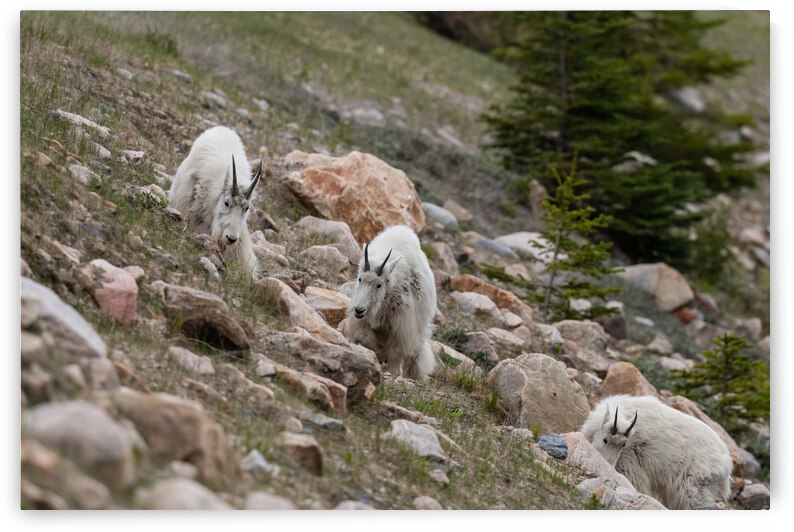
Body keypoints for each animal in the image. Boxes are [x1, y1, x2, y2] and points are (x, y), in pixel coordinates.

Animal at [341, 225, 437, 380]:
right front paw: (380, 357)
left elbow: (395, 352)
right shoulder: (363, 322)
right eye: (360, 279)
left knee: (415, 355)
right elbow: (366, 338)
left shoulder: (402, 326)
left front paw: (391, 371)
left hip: (420, 330)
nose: (359, 310)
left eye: (379, 285)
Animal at [580, 394, 733, 509]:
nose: (608, 466)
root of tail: (726, 465)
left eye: (623, 444)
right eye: (605, 440)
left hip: (693, 487)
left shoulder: (630, 462)